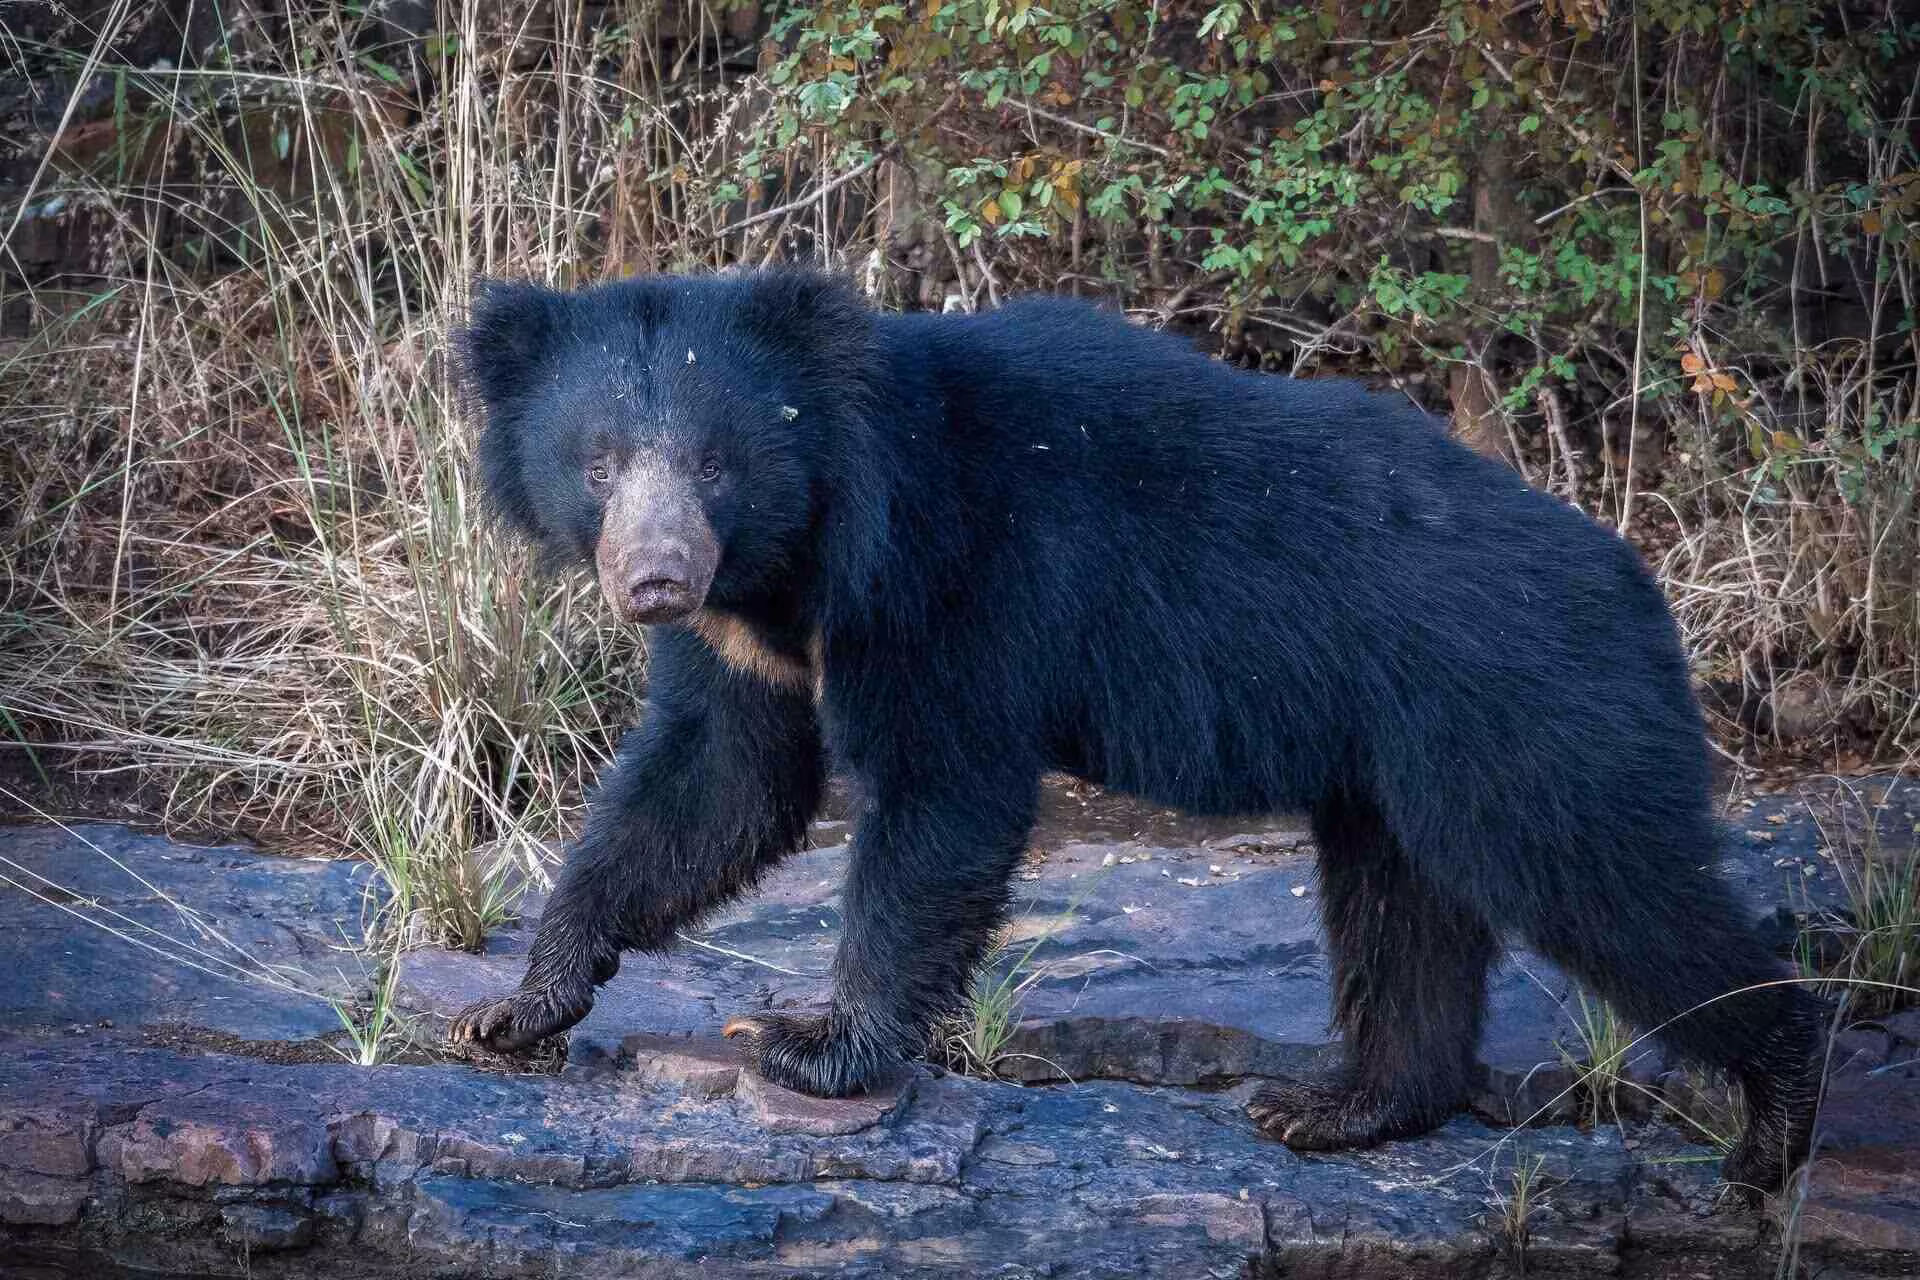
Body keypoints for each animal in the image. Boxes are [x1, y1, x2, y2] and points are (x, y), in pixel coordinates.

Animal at [447, 267, 1826, 1196]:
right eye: (599, 460)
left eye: (716, 462)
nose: (656, 578)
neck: (807, 555)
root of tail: (1639, 585)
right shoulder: (752, 638)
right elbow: (718, 778)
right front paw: (519, 1004)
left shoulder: (958, 584)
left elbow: (939, 799)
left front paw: (809, 1042)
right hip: (1399, 760)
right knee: (1405, 915)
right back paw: (1341, 1105)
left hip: (1526, 714)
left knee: (1609, 885)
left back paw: (1774, 1108)